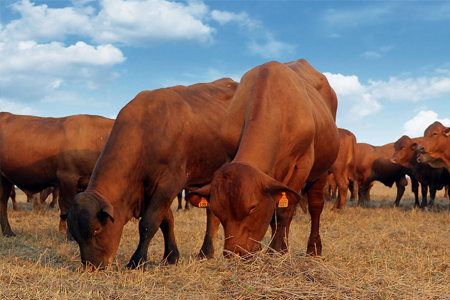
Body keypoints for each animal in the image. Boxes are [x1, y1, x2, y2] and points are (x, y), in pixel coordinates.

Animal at [62, 77, 241, 268]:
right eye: (75, 235)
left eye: (97, 228)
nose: (91, 266)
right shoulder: (150, 189)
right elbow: (166, 222)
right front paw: (171, 256)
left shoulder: (170, 183)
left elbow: (148, 223)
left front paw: (138, 260)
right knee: (211, 214)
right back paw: (206, 252)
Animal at [188, 59, 340, 258]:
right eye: (217, 209)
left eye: (253, 207)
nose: (235, 253)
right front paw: (271, 250)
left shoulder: (302, 164)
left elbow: (282, 212)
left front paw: (275, 251)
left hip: (321, 169)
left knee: (315, 206)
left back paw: (313, 249)